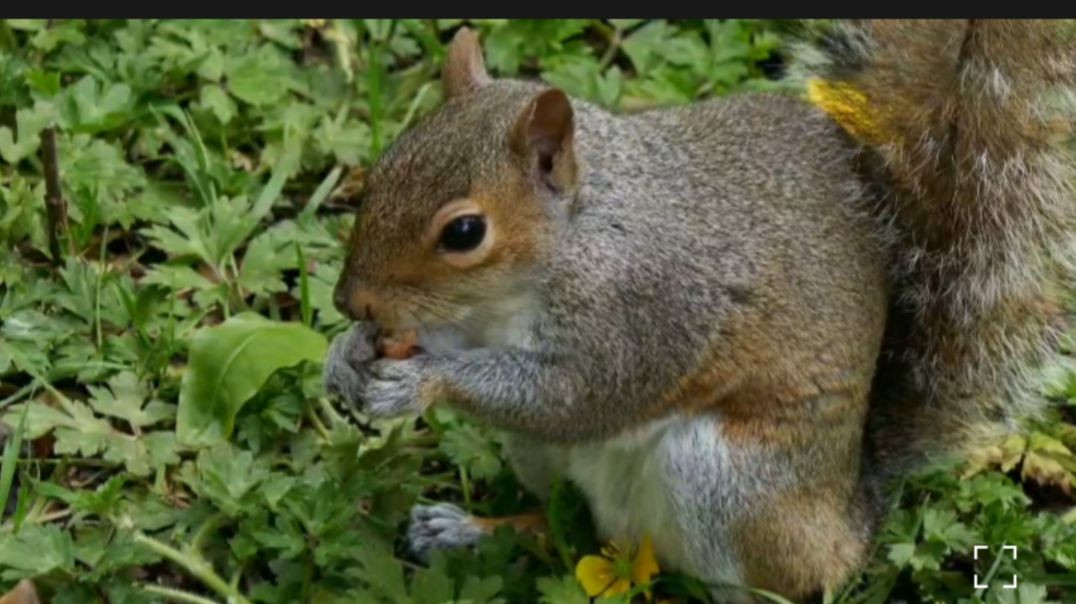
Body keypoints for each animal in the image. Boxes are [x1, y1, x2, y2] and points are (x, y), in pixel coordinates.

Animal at [323, 20, 1076, 602]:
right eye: (384, 165)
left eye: (464, 232)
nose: (349, 299)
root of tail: (852, 520)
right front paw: (348, 353)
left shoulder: (650, 310)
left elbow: (576, 396)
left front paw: (418, 381)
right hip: (545, 460)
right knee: (570, 528)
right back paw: (466, 532)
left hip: (727, 485)